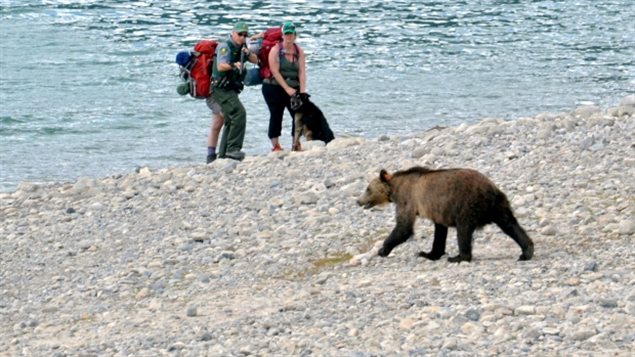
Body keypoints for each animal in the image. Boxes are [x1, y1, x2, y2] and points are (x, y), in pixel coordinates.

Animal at [360, 167, 536, 262]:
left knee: (463, 231)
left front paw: (382, 250)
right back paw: (526, 251)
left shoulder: (408, 199)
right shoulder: (439, 209)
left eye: (367, 189)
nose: (358, 201)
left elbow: (403, 227)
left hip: (467, 204)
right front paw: (429, 253)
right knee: (510, 224)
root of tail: (489, 191)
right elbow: (439, 232)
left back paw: (459, 257)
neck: (394, 189)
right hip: (499, 204)